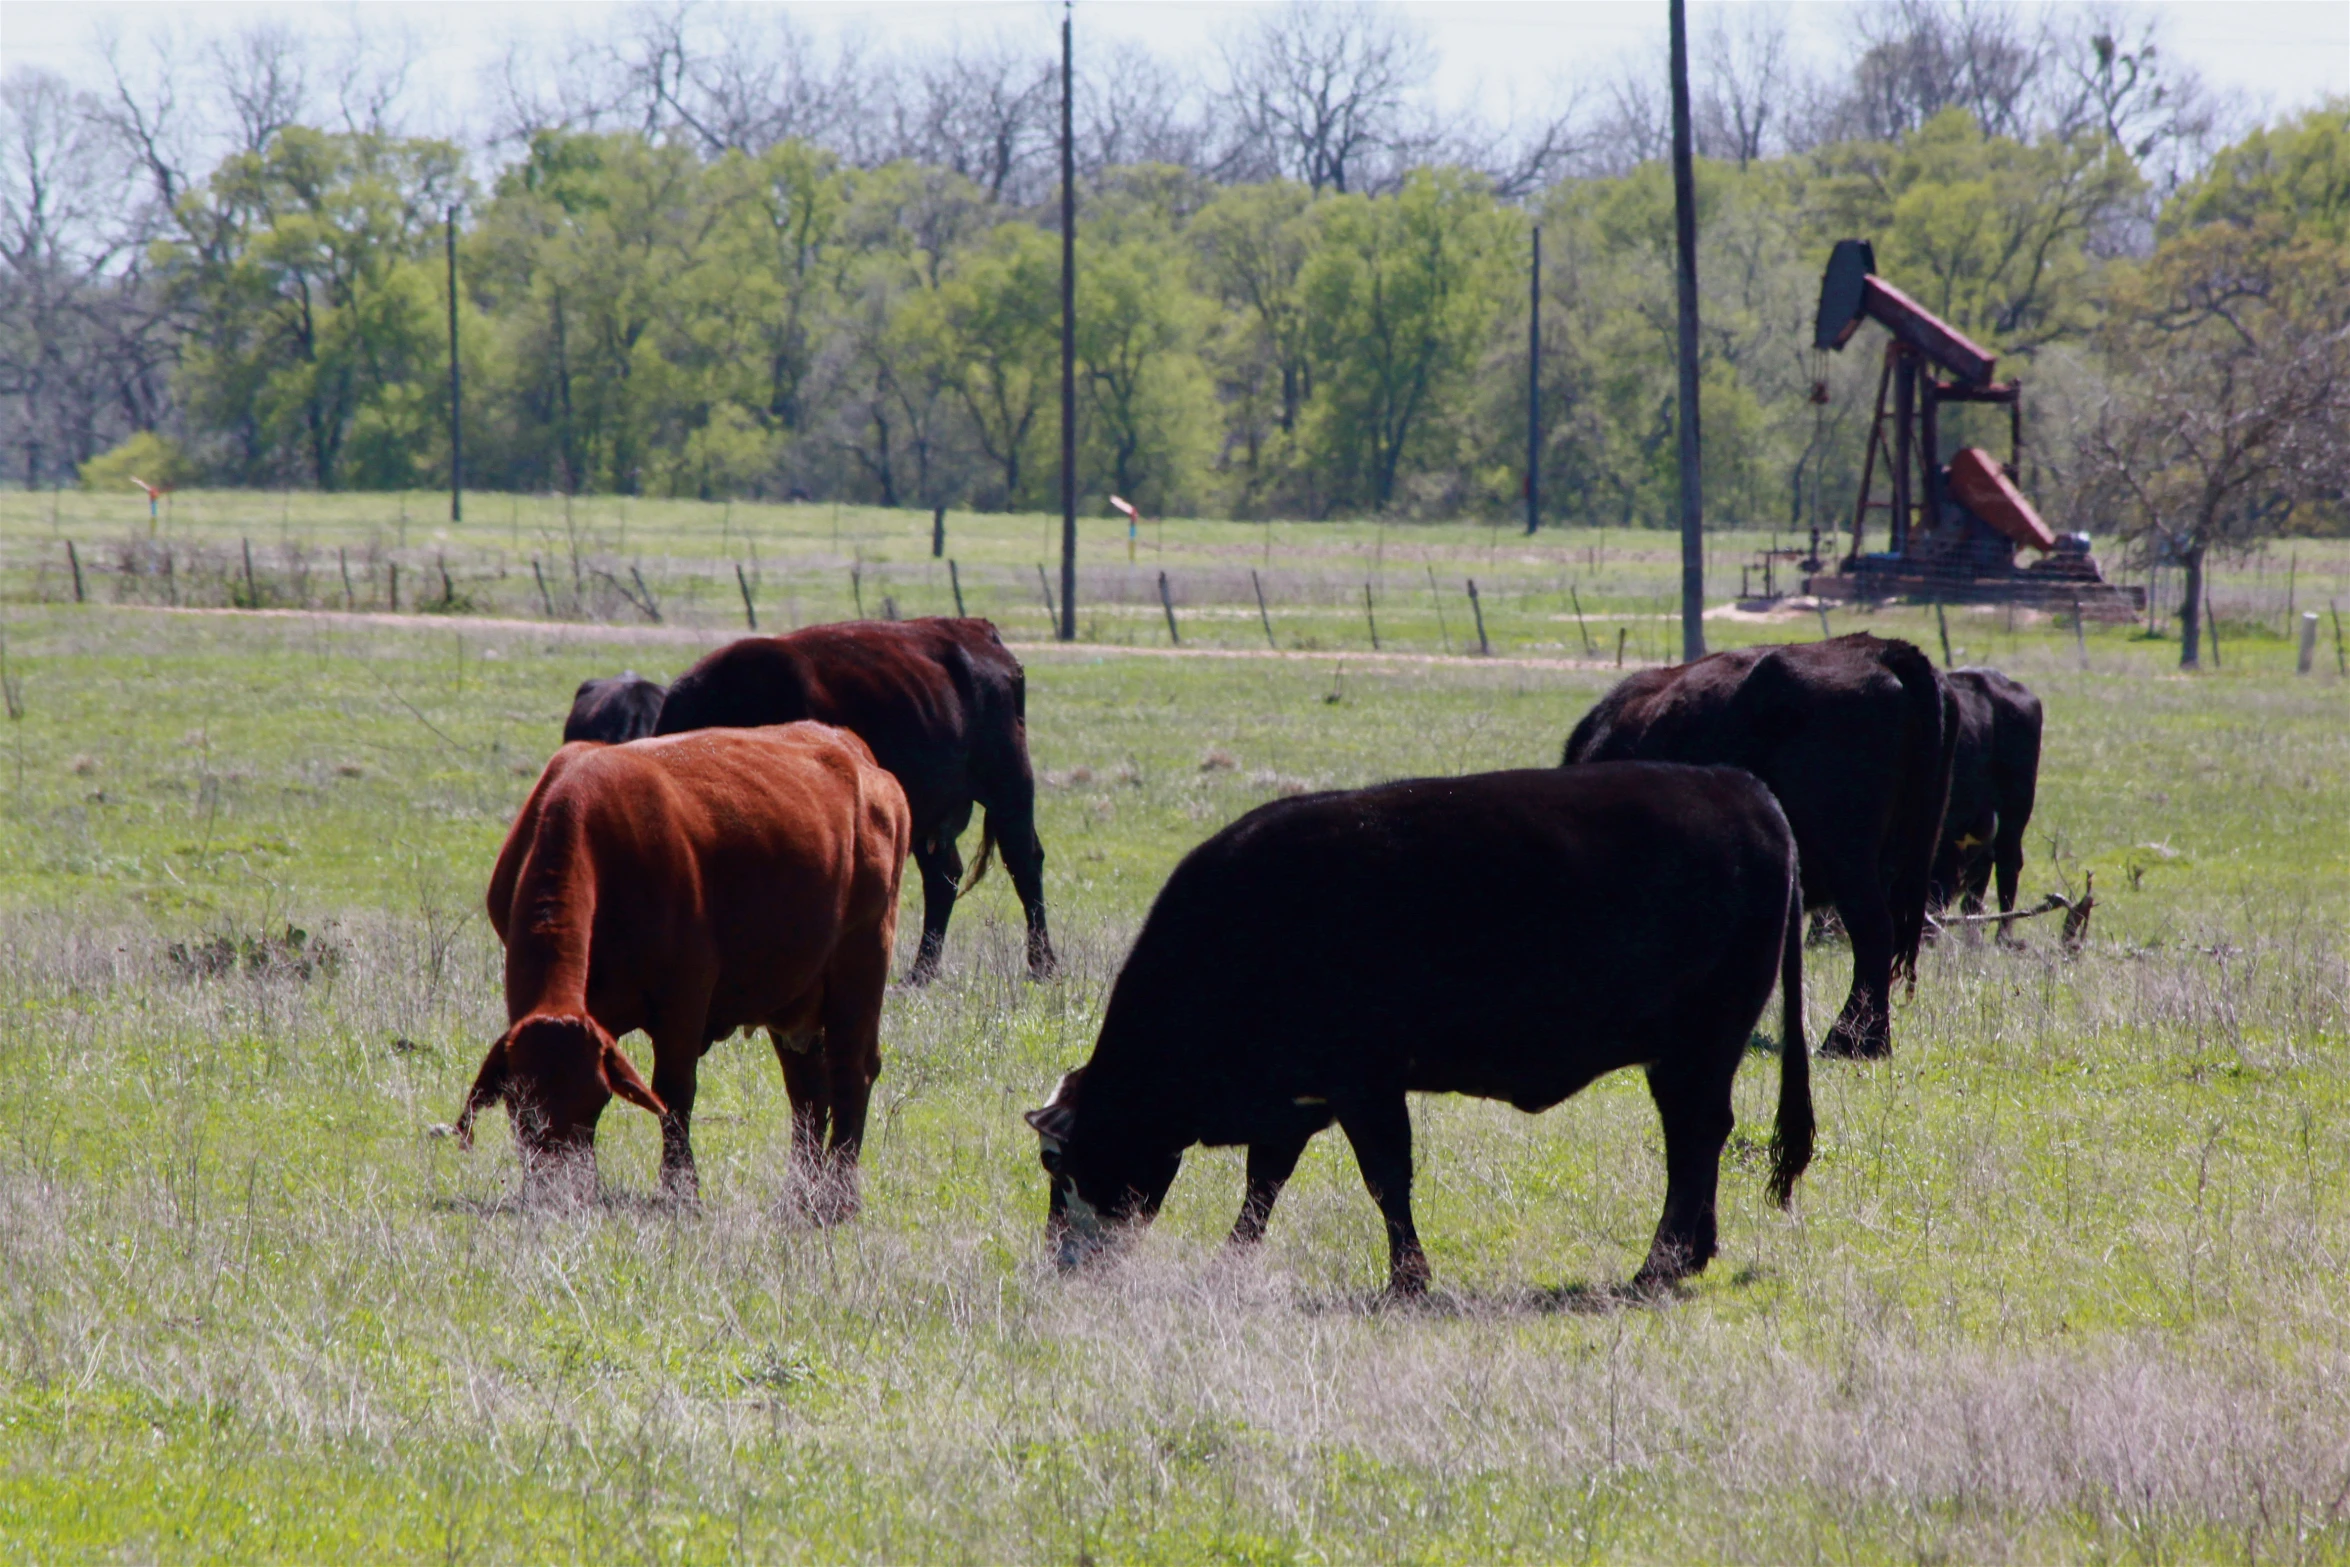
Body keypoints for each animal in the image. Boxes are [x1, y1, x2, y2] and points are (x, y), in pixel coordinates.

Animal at [455, 723, 907, 1212]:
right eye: (520, 1108)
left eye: (596, 1101)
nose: (561, 1190)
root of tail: (851, 749)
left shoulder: (684, 998)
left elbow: (674, 1094)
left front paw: (680, 1186)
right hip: (794, 996)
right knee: (807, 1089)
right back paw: (799, 1192)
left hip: (860, 964)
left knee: (852, 1070)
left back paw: (837, 1196)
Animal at [643, 620, 1048, 982]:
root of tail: (980, 630)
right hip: (930, 817)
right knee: (943, 877)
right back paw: (921, 973)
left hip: (1009, 788)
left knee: (1024, 863)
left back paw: (1043, 967)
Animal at [1019, 761, 1804, 1296]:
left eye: (1057, 1163)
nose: (1058, 1260)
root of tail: (1741, 788)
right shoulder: (1297, 1098)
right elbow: (1263, 1185)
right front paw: (1230, 1264)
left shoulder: (1364, 1084)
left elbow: (1386, 1179)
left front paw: (1408, 1277)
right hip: (1692, 1053)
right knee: (1699, 1136)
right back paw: (1691, 1254)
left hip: (1700, 1042)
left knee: (1695, 1136)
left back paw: (1658, 1266)